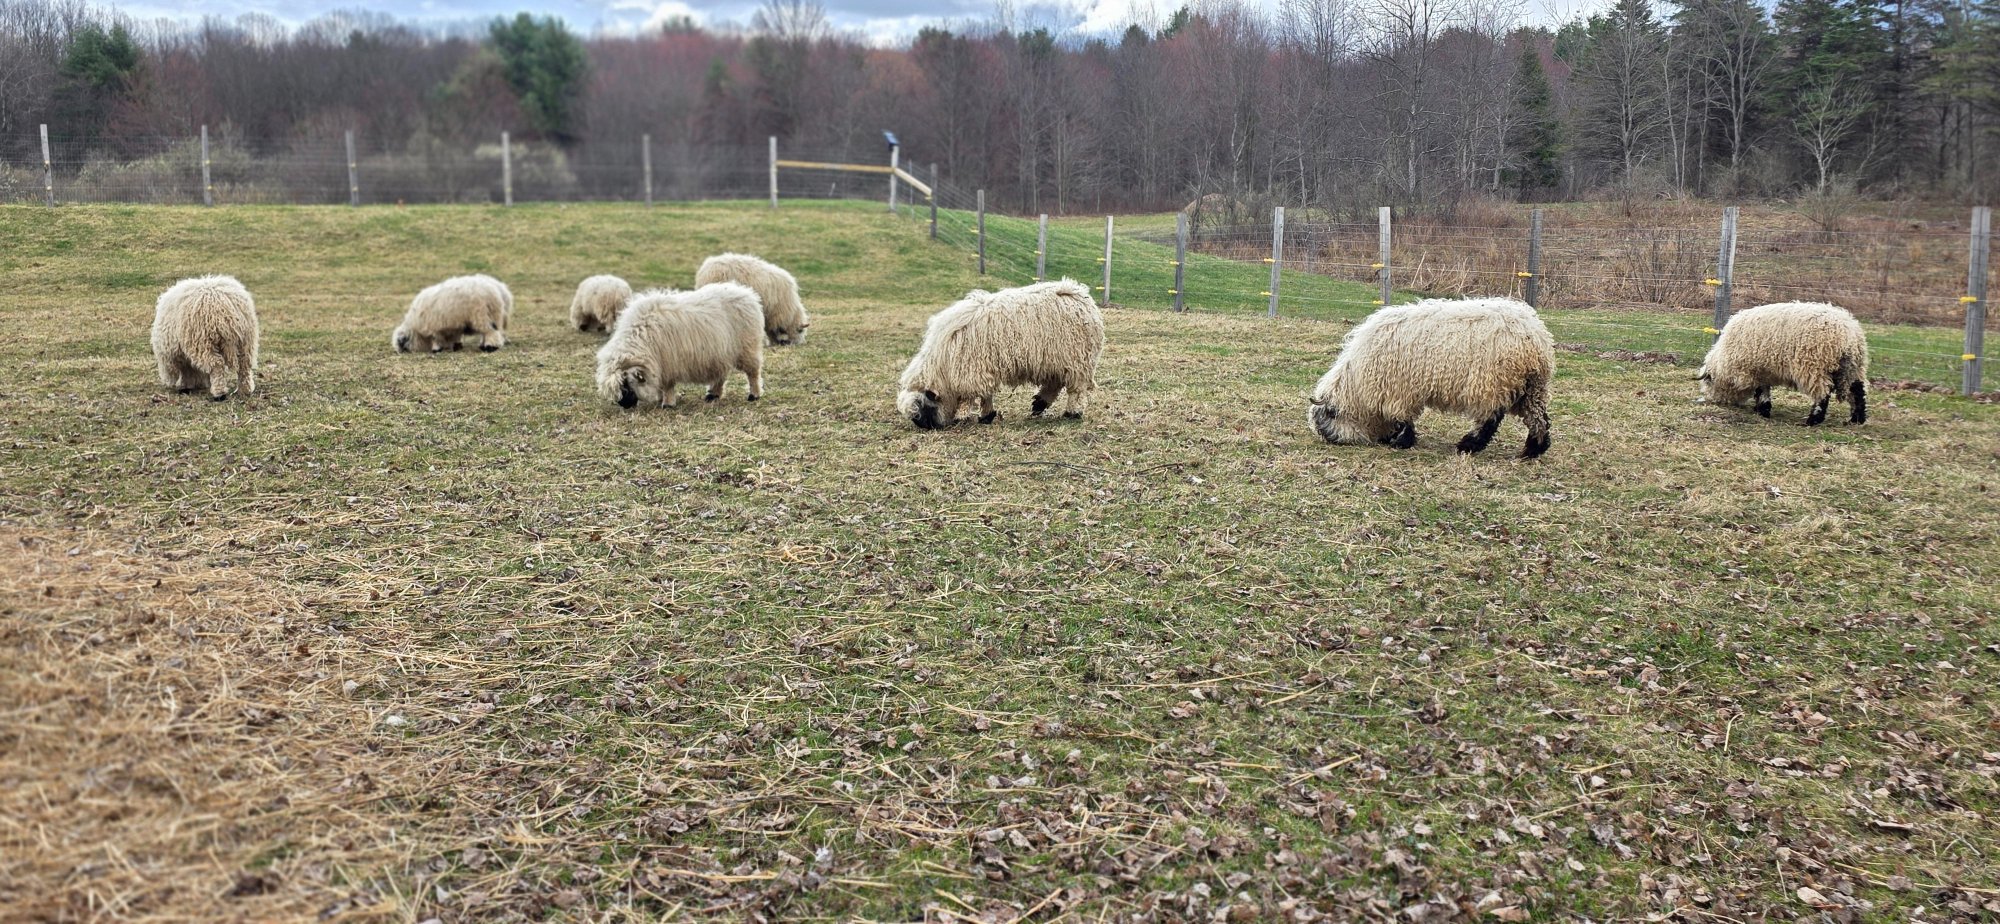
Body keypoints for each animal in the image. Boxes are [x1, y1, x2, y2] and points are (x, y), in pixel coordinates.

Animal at [594, 282, 764, 409]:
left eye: (626, 385)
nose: (624, 405)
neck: (641, 336)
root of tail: (747, 293)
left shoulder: (668, 364)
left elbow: (667, 385)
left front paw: (667, 404)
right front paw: (661, 398)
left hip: (747, 348)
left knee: (753, 372)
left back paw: (754, 395)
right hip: (720, 352)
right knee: (720, 375)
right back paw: (712, 395)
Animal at [896, 279, 1104, 430]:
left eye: (925, 408)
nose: (925, 427)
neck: (943, 365)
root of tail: (1080, 294)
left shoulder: (972, 372)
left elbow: (969, 397)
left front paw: (964, 417)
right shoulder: (983, 370)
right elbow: (985, 394)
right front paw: (986, 416)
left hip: (1078, 360)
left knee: (1077, 389)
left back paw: (1072, 413)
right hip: (1055, 361)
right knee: (1054, 383)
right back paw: (1039, 404)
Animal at [1308, 296, 1554, 458]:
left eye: (1329, 418)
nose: (1331, 440)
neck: (1356, 383)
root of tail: (1535, 337)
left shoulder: (1398, 391)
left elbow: (1402, 418)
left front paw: (1401, 441)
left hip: (1491, 384)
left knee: (1489, 419)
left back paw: (1468, 445)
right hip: (1531, 387)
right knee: (1538, 417)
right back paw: (1534, 449)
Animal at [1698, 301, 1868, 426]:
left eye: (1708, 382)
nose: (1712, 401)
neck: (1724, 359)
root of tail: (1849, 332)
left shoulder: (1754, 369)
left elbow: (1761, 390)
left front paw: (1762, 410)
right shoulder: (1764, 369)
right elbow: (1763, 390)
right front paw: (1763, 409)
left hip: (1815, 367)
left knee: (1822, 394)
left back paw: (1813, 420)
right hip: (1851, 367)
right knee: (1857, 391)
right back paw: (1857, 419)